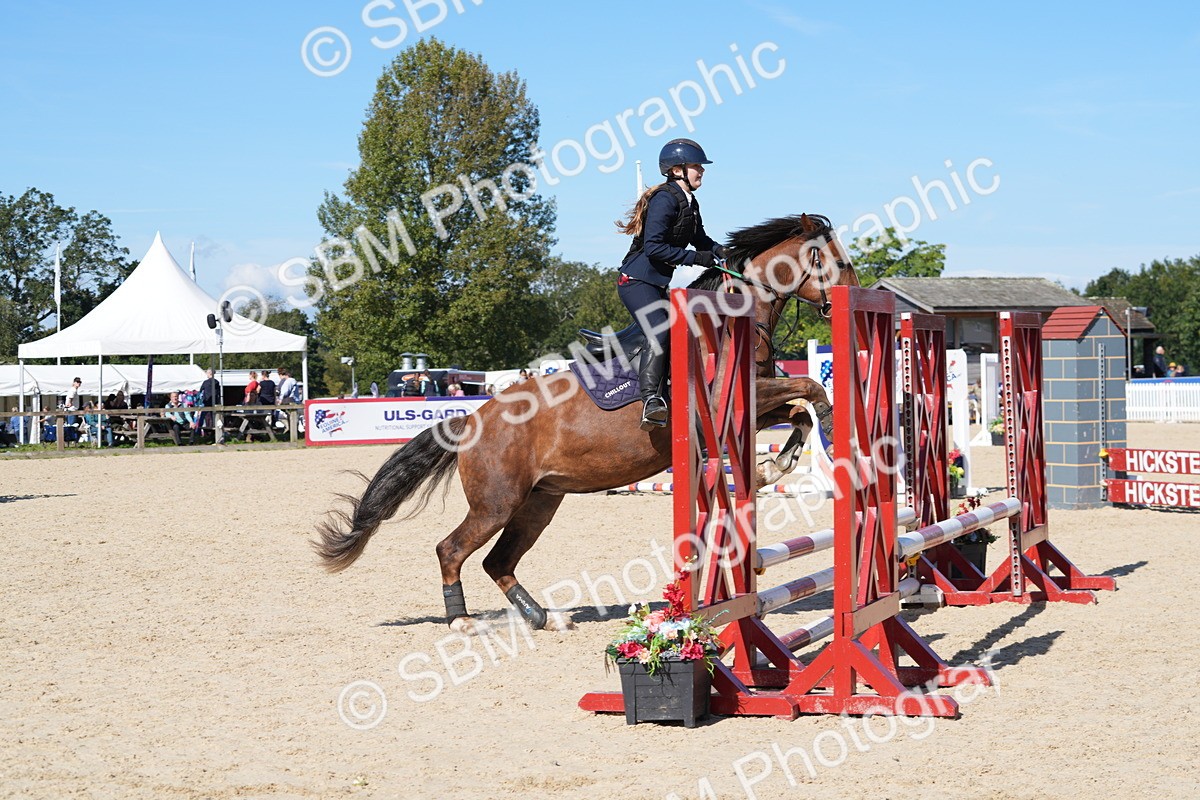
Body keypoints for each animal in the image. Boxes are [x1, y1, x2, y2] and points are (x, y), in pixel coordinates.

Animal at [314, 213, 860, 634]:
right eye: (831, 259)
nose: (852, 299)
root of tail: (471, 419)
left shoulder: (753, 403)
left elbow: (796, 411)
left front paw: (775, 466)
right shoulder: (731, 400)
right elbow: (811, 391)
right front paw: (830, 436)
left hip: (539, 502)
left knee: (498, 561)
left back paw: (544, 618)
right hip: (497, 502)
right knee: (452, 550)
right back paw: (463, 621)